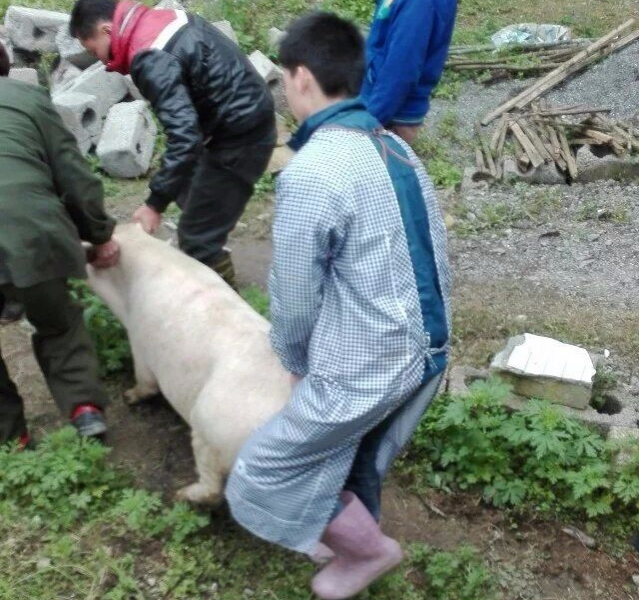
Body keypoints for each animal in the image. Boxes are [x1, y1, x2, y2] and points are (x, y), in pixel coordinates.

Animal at [86, 223, 292, 504]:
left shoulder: (139, 340)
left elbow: (145, 381)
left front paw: (128, 396)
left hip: (211, 428)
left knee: (213, 487)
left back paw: (181, 494)